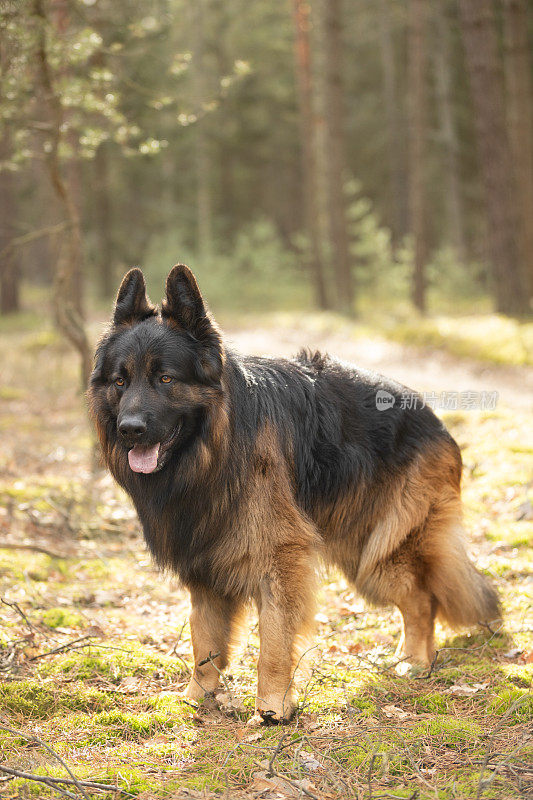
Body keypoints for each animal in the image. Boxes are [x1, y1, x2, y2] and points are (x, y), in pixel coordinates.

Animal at [87, 266, 498, 720]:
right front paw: (198, 695)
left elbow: (274, 638)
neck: (217, 448)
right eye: (120, 381)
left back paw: (415, 662)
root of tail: (431, 416)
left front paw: (272, 706)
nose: (129, 429)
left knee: (422, 599)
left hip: (377, 553)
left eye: (165, 378)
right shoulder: (204, 561)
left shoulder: (279, 559)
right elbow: (205, 639)